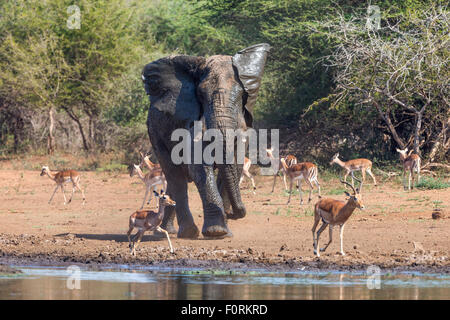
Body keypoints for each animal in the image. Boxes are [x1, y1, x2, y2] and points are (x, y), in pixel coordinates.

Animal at [142, 43, 268, 238]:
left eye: (241, 96)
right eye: (200, 94)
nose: (233, 214)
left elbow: (234, 165)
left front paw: (224, 232)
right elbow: (200, 168)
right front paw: (217, 232)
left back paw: (168, 231)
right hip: (154, 132)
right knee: (174, 175)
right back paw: (185, 232)